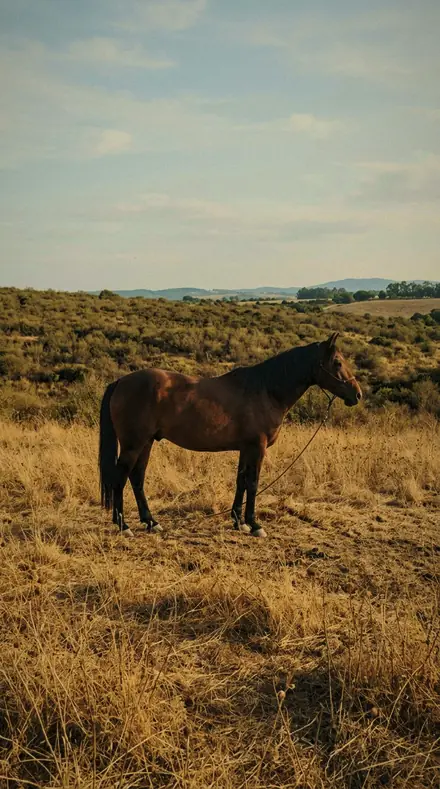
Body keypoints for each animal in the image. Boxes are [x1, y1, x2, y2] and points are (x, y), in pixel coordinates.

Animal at [99, 332, 362, 538]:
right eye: (337, 362)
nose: (357, 394)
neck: (266, 390)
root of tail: (121, 381)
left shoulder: (246, 448)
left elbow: (241, 481)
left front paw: (238, 522)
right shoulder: (257, 447)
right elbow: (253, 483)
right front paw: (255, 525)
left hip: (146, 443)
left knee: (137, 478)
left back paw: (151, 522)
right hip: (134, 444)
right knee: (120, 478)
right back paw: (124, 525)